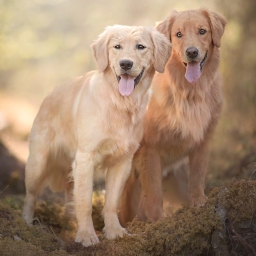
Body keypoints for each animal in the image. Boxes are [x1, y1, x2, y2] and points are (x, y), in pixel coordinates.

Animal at [21, 25, 170, 247]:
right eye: (117, 47)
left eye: (140, 47)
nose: (125, 64)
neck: (119, 103)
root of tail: (49, 95)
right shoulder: (86, 157)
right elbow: (85, 202)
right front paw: (86, 235)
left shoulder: (122, 161)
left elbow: (111, 202)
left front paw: (114, 231)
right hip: (37, 164)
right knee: (31, 195)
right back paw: (26, 221)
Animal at [119, 9, 227, 226]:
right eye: (178, 34)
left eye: (202, 31)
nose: (192, 52)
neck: (190, 91)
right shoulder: (150, 149)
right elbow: (154, 192)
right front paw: (158, 221)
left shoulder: (203, 140)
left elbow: (198, 174)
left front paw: (198, 201)